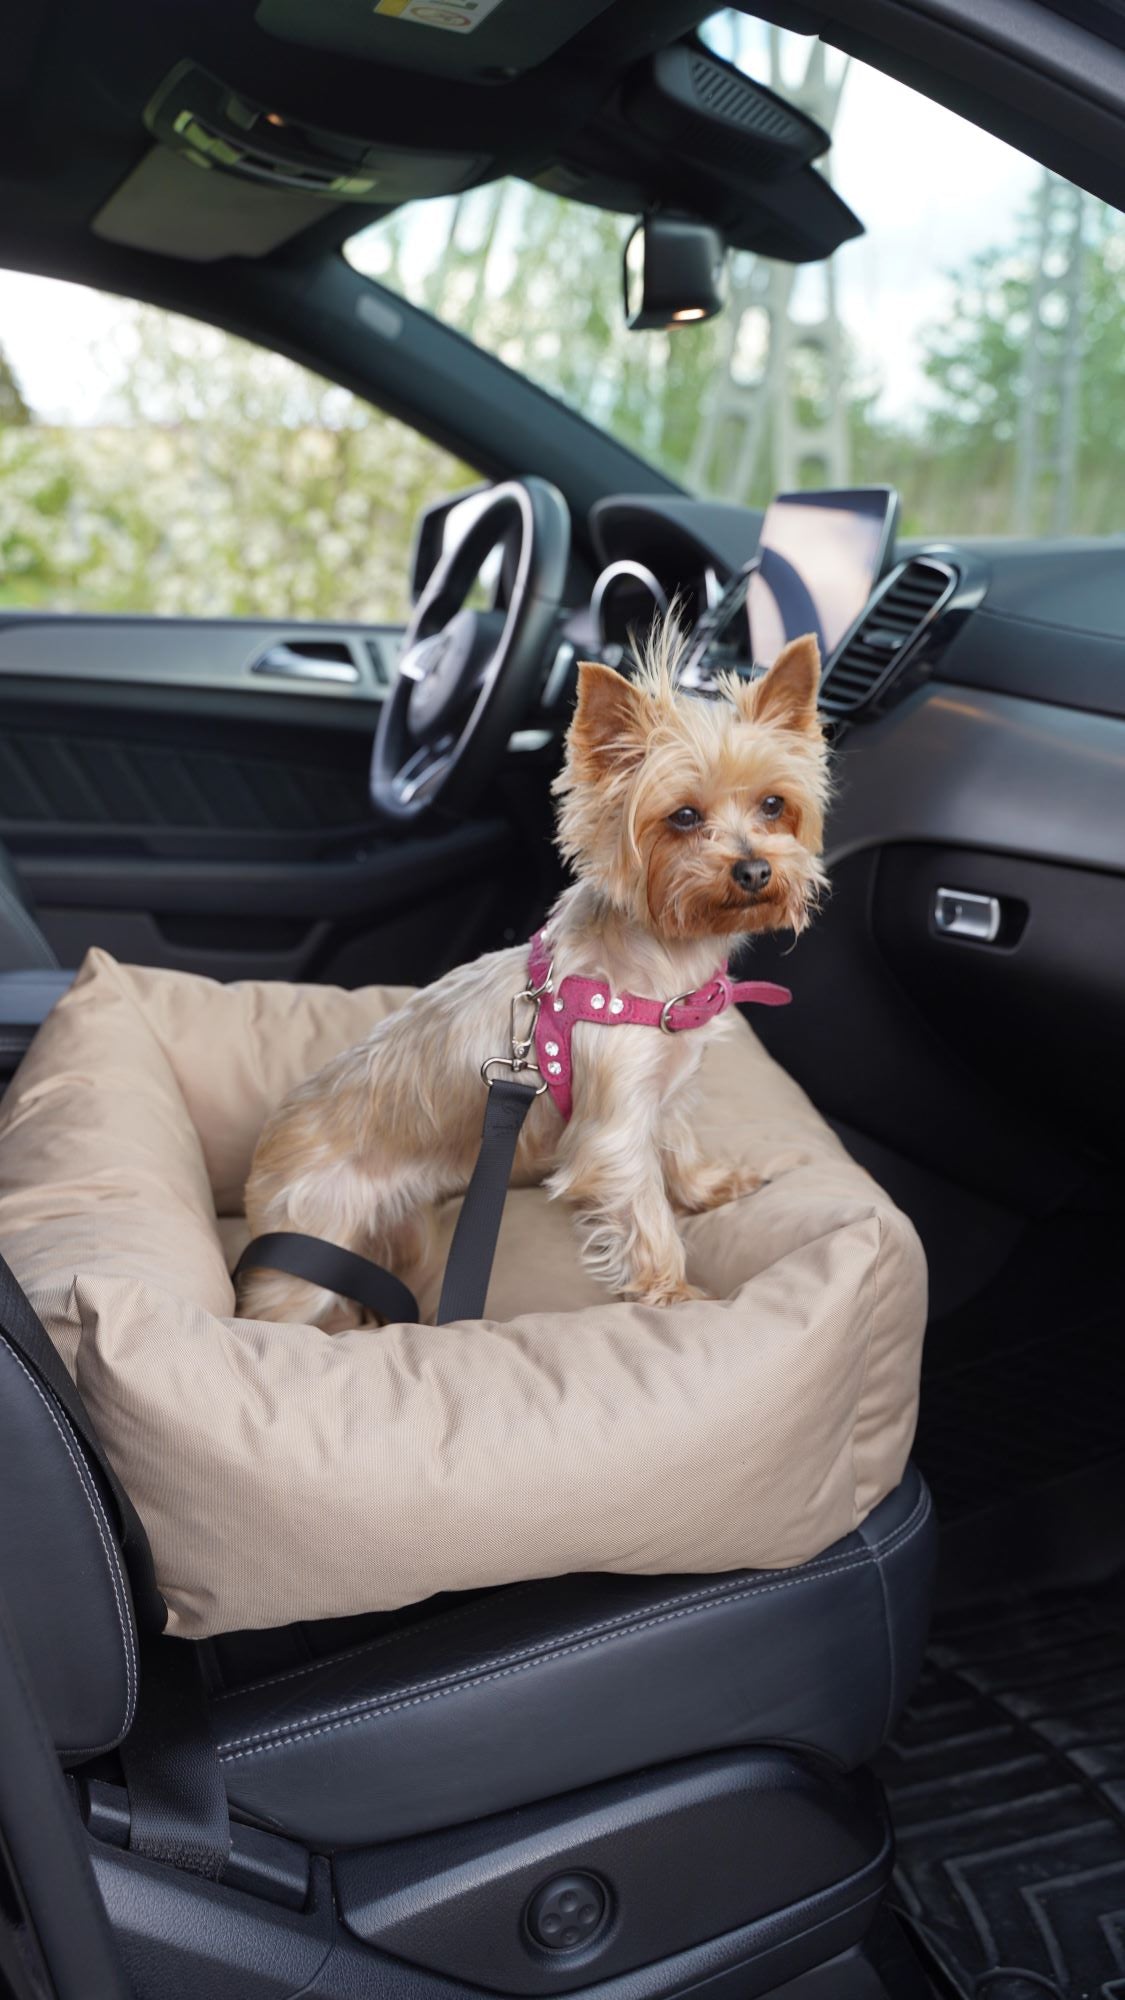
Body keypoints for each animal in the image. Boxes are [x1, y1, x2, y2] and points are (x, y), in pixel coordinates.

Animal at [236, 628, 828, 1328]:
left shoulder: (667, 1092)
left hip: (404, 1231)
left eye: (774, 805)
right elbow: (646, 1210)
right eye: (683, 817)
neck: (665, 966)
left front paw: (710, 1188)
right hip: (310, 1245)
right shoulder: (615, 1130)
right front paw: (675, 1294)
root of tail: (265, 1150)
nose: (755, 870)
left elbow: (680, 1148)